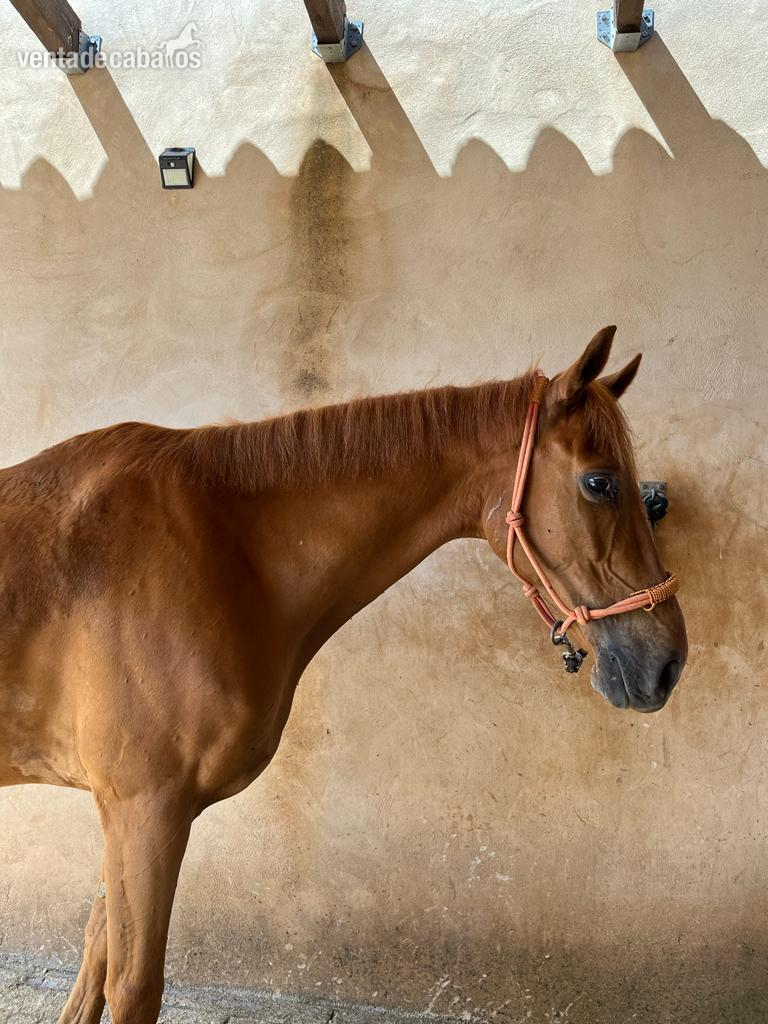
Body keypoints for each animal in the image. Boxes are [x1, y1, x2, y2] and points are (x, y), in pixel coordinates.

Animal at [0, 326, 686, 1023]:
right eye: (600, 482)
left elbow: (95, 958)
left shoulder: (124, 812)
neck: (222, 546)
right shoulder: (146, 807)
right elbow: (132, 984)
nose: (667, 662)